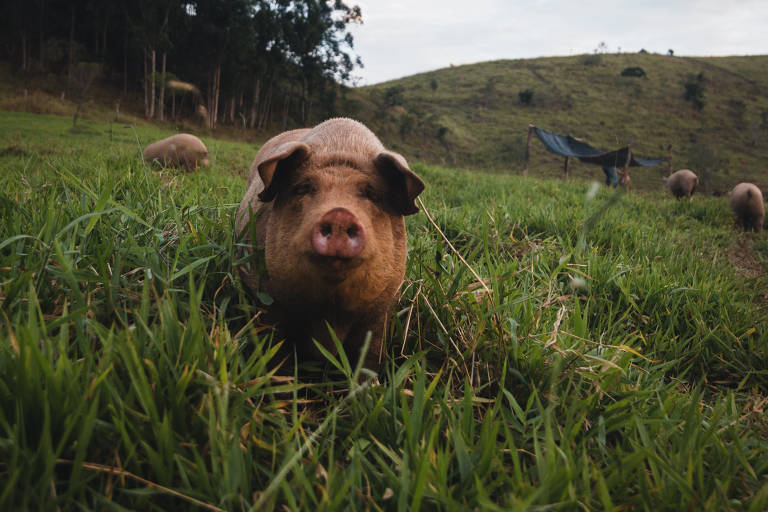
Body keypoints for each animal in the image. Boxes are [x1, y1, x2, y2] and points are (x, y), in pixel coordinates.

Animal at [236, 117, 426, 370]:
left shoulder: (380, 311)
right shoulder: (270, 300)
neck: (331, 314)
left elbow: (369, 357)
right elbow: (276, 350)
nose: (339, 214)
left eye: (372, 194)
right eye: (303, 188)